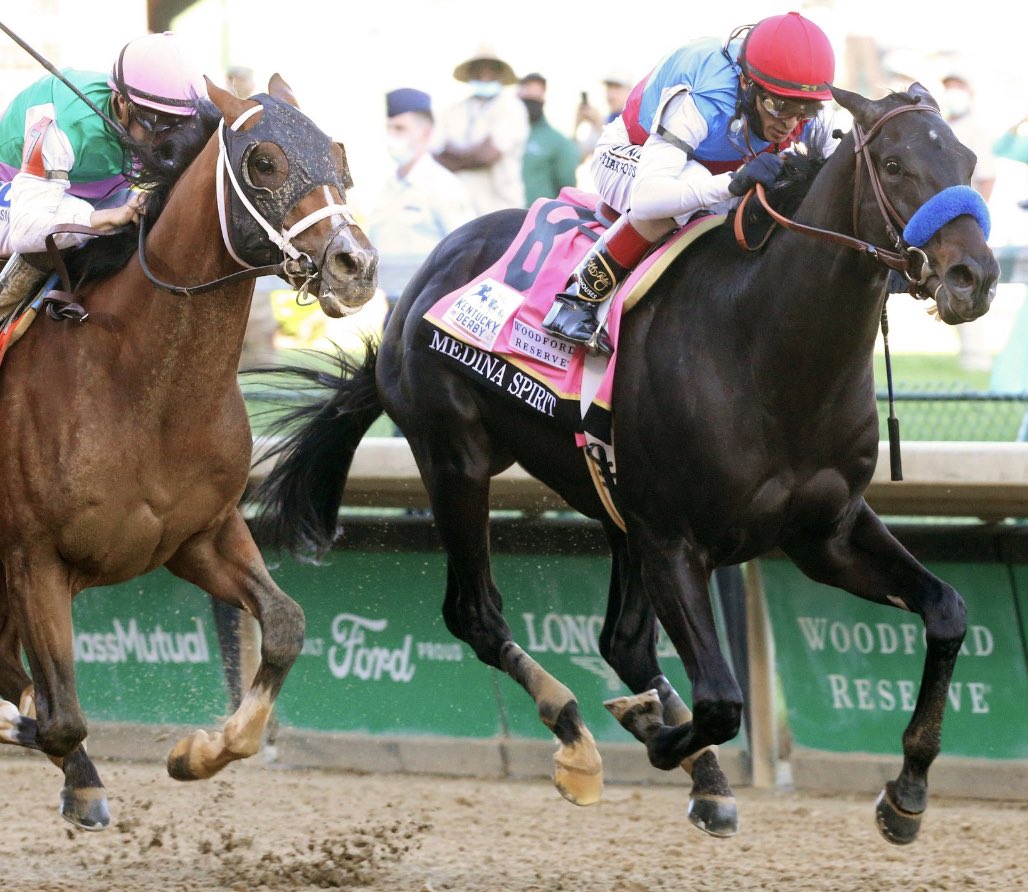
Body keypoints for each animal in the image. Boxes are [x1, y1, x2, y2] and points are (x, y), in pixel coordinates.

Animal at [0, 75, 377, 829]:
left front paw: (200, 751)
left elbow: (285, 625)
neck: (143, 390)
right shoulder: (33, 559)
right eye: (264, 162)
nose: (356, 266)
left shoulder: (199, 534)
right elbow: (59, 717)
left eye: (339, 155)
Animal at [253, 84, 998, 844]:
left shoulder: (826, 534)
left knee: (623, 642)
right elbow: (722, 700)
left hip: (613, 506)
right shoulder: (675, 541)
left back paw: (697, 771)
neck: (767, 348)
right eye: (896, 164)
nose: (974, 278)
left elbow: (947, 610)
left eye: (968, 158)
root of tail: (415, 284)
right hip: (455, 463)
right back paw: (579, 737)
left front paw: (906, 793)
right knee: (478, 617)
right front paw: (654, 731)